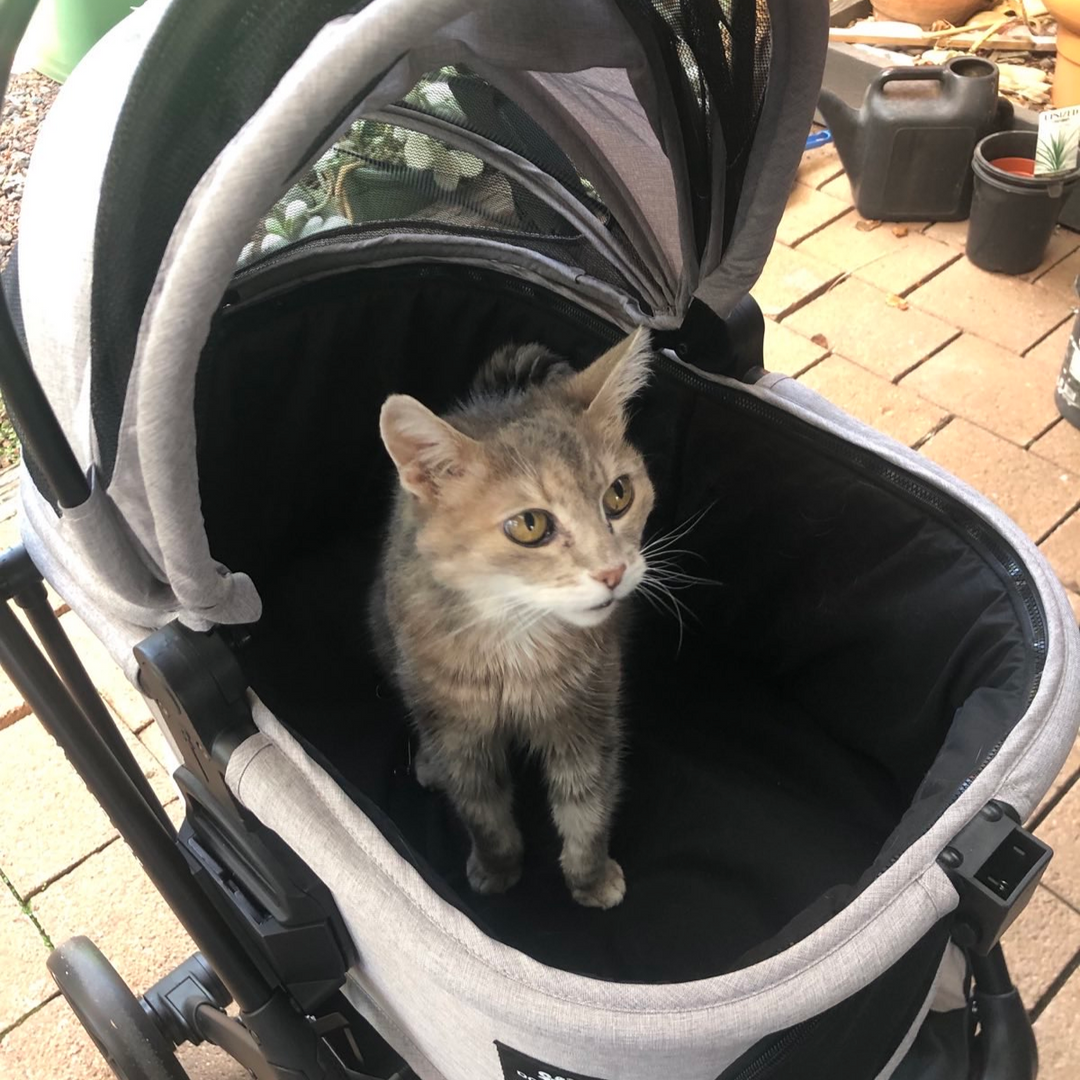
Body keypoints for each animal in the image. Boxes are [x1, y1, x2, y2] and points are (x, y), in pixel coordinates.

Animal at [371, 326, 652, 902]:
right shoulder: (462, 732)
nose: (613, 571)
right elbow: (482, 808)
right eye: (529, 525)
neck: (515, 640)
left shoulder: (588, 715)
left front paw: (590, 876)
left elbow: (587, 803)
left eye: (619, 494)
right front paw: (496, 868)